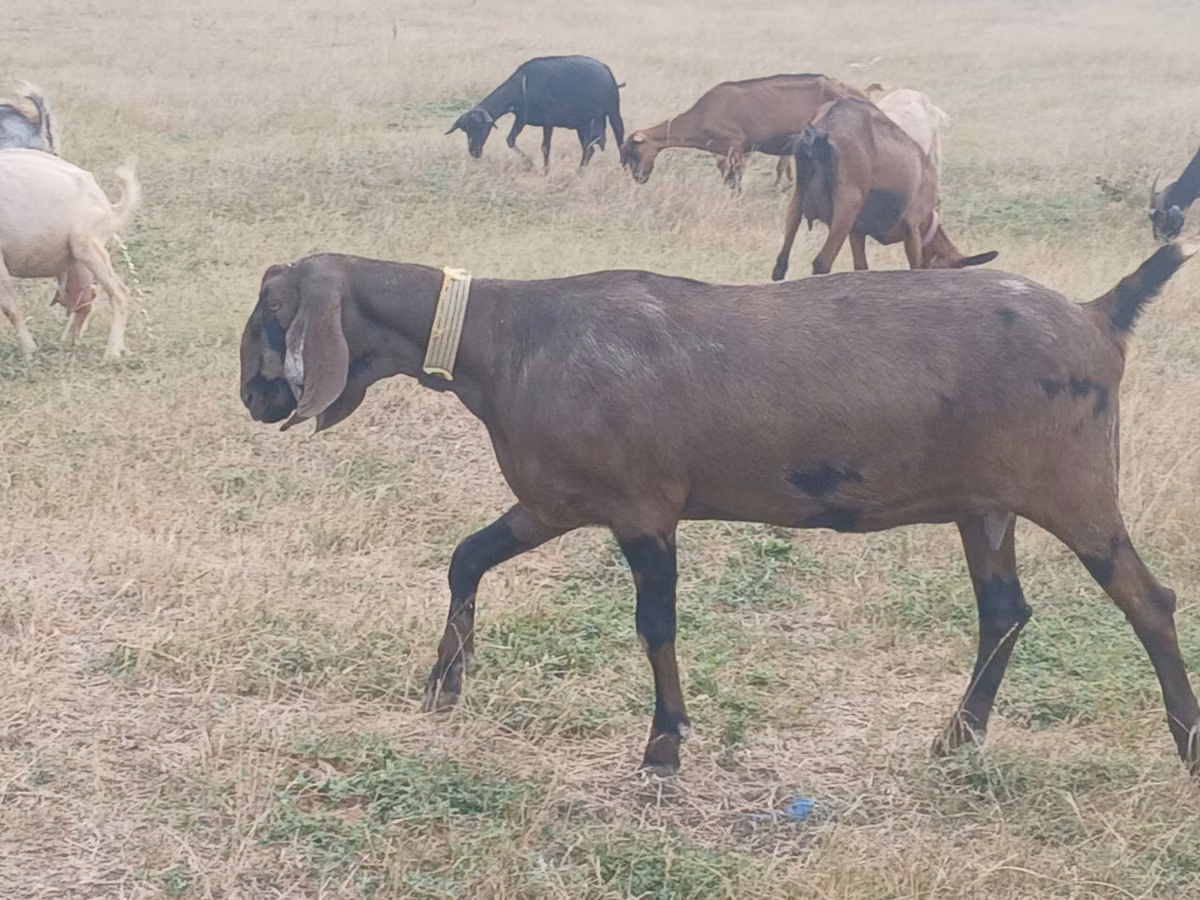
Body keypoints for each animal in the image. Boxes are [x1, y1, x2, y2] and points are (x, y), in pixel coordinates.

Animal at [0, 149, 141, 359]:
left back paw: (112, 352)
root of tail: (107, 205)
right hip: (76, 262)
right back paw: (68, 342)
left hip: (86, 244)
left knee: (119, 292)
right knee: (86, 298)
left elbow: (10, 306)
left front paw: (29, 351)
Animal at [240, 243, 1199, 778]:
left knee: (1148, 601)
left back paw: (1185, 743)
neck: (505, 341)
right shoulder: (556, 499)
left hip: (1073, 485)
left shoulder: (642, 507)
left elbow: (655, 624)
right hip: (986, 502)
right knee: (1005, 611)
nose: (253, 396)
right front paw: (446, 681)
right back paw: (955, 740)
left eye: (274, 311)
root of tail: (1100, 318)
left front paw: (665, 746)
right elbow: (467, 556)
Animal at [446, 55, 624, 172]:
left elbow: (545, 147)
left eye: (479, 128)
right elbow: (510, 140)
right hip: (583, 124)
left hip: (613, 113)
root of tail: (607, 71)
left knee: (619, 139)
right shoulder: (521, 119)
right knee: (588, 149)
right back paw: (580, 171)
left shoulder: (548, 122)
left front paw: (545, 170)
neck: (524, 85)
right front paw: (529, 163)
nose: (474, 152)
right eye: (465, 130)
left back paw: (624, 167)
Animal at [620, 74, 869, 190]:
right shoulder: (728, 152)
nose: (639, 178)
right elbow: (728, 179)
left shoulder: (735, 147)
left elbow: (736, 181)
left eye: (634, 152)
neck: (700, 116)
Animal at [772, 98, 997, 280]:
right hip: (847, 205)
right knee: (821, 262)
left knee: (781, 263)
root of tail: (823, 127)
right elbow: (916, 266)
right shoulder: (913, 226)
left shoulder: (857, 231)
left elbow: (861, 267)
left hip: (799, 199)